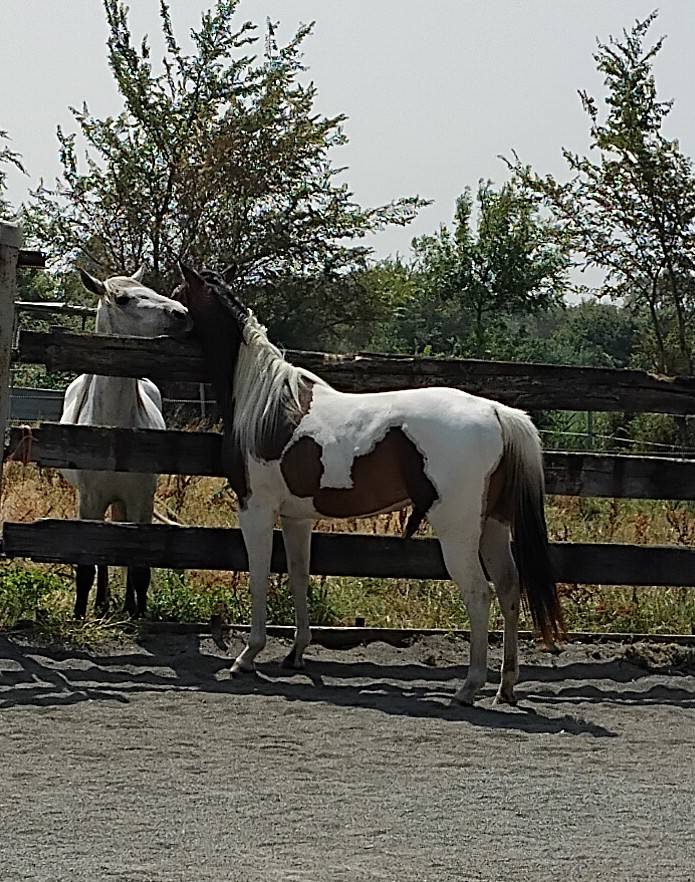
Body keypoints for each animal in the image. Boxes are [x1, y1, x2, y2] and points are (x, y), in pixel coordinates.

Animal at [60, 265, 192, 619]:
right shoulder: (90, 502)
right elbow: (87, 567)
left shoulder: (141, 500)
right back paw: (102, 603)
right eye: (122, 298)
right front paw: (80, 614)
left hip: (125, 503)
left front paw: (138, 613)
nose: (181, 313)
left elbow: (139, 566)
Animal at [175, 263, 564, 706]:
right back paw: (506, 686)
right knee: (509, 587)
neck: (266, 405)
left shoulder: (255, 508)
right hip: (494, 526)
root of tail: (498, 412)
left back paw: (469, 688)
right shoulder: (296, 517)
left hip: (458, 531)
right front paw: (296, 652)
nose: (169, 318)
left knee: (480, 594)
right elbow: (298, 574)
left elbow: (259, 575)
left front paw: (247, 657)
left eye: (179, 291)